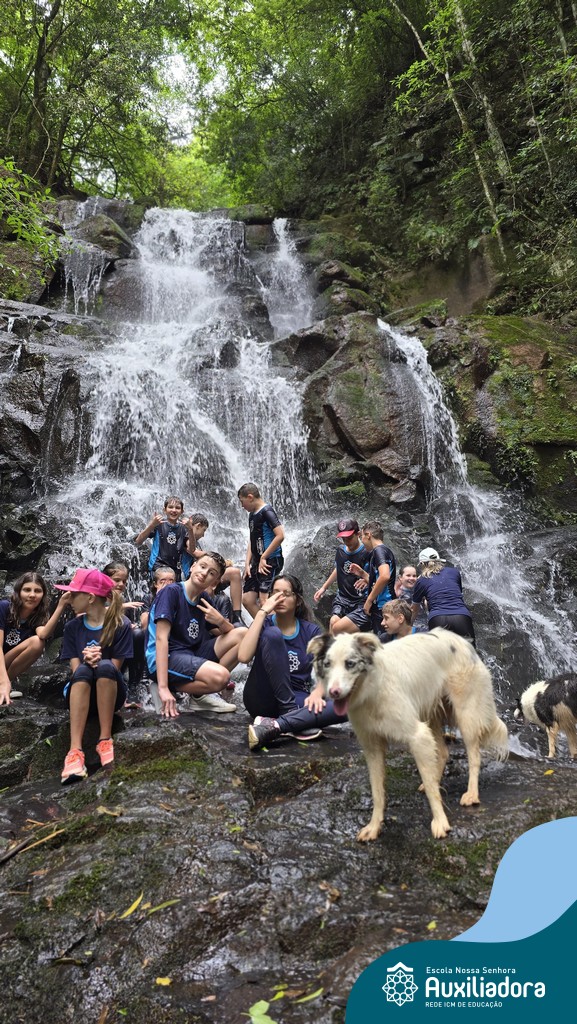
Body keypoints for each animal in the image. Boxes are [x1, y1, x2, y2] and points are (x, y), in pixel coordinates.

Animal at [308, 629, 508, 840]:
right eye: (327, 664)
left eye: (350, 663)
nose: (334, 692)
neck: (373, 689)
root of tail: (461, 639)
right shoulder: (372, 746)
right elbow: (377, 792)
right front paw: (374, 826)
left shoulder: (417, 735)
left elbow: (430, 789)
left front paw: (440, 822)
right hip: (430, 714)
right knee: (443, 752)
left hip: (466, 714)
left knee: (474, 756)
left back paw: (471, 794)